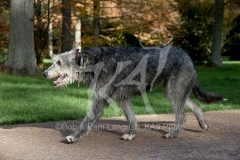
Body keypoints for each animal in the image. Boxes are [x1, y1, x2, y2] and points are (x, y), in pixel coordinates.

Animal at [43, 45, 227, 143]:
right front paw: (131, 134)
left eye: (59, 62)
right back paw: (202, 123)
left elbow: (87, 120)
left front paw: (74, 136)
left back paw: (173, 133)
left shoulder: (101, 98)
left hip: (175, 90)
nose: (44, 74)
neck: (93, 62)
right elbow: (131, 118)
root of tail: (188, 57)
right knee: (195, 105)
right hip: (173, 90)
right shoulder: (122, 98)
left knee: (181, 115)